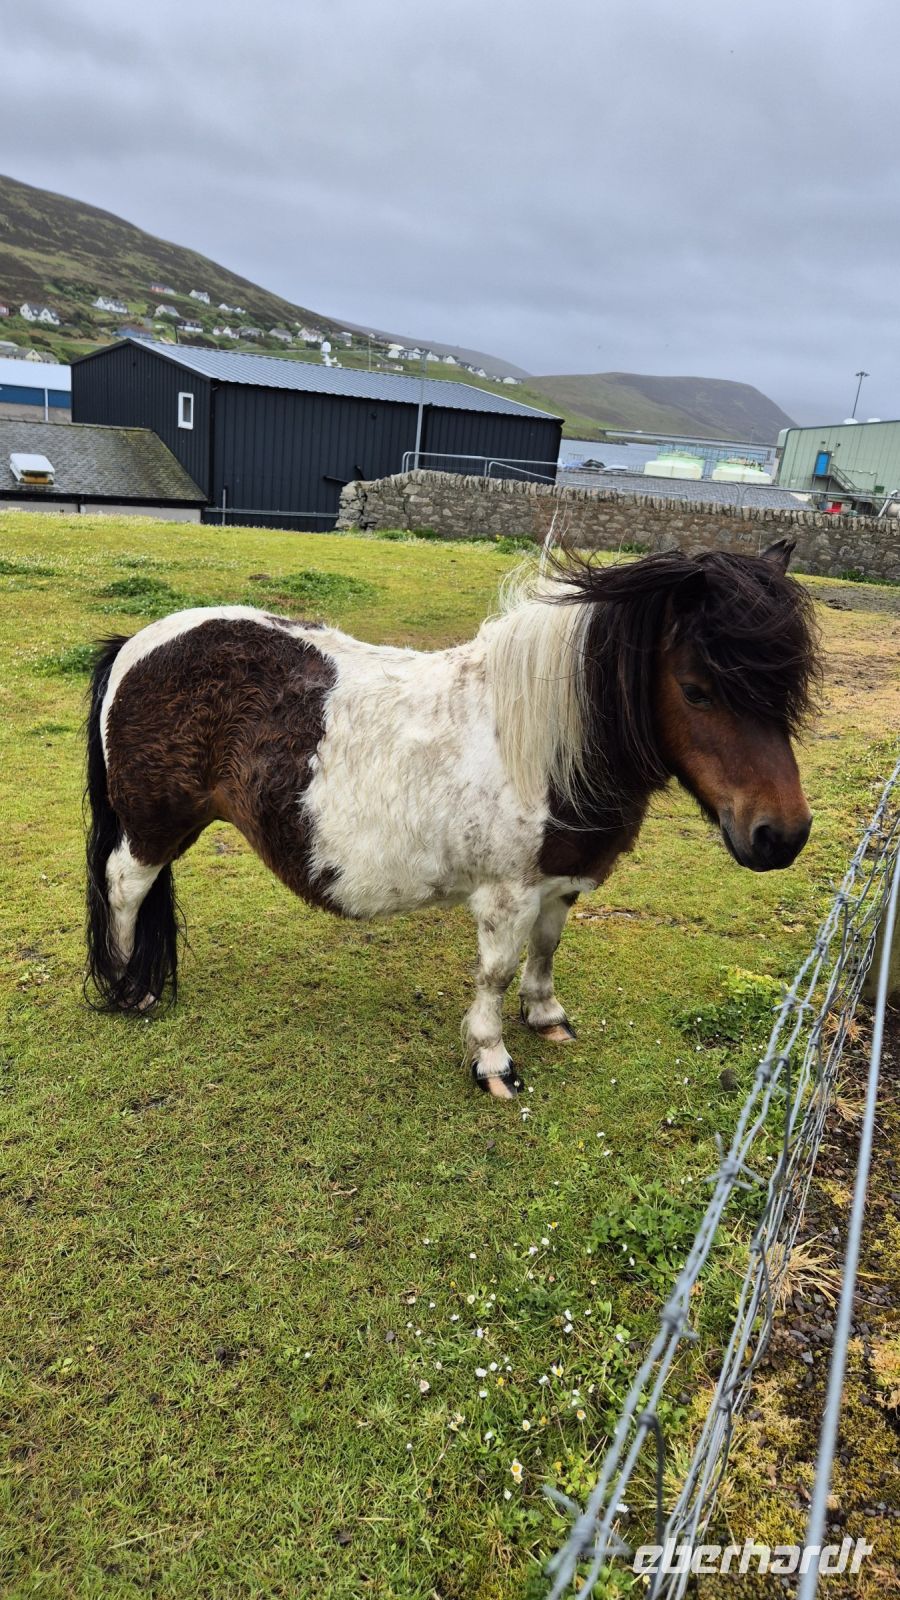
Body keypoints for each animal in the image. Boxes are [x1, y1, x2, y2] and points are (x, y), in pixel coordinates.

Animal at [84, 539, 820, 1099]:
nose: (780, 836)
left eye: (786, 692)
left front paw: (545, 1014)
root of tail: (137, 644)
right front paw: (492, 1059)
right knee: (124, 887)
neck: (544, 745)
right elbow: (495, 972)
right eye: (697, 691)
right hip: (154, 829)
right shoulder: (506, 894)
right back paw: (127, 989)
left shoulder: (561, 880)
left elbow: (546, 949)